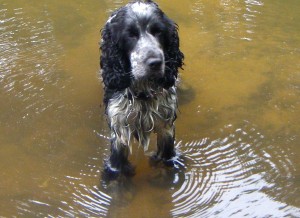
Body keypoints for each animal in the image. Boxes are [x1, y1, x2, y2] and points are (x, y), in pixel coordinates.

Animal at [99, 0, 184, 178]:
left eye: (158, 31)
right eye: (130, 35)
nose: (155, 63)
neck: (143, 92)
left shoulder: (166, 125)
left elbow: (167, 157)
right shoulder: (119, 128)